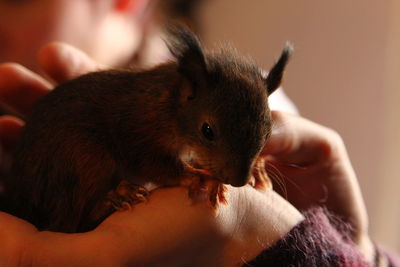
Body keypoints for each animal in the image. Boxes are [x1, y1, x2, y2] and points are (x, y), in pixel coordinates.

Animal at [2, 25, 290, 234]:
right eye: (207, 130)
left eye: (268, 131)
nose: (239, 180)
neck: (170, 105)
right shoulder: (139, 134)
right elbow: (156, 166)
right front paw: (200, 177)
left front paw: (259, 168)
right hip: (83, 160)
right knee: (70, 222)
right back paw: (116, 197)